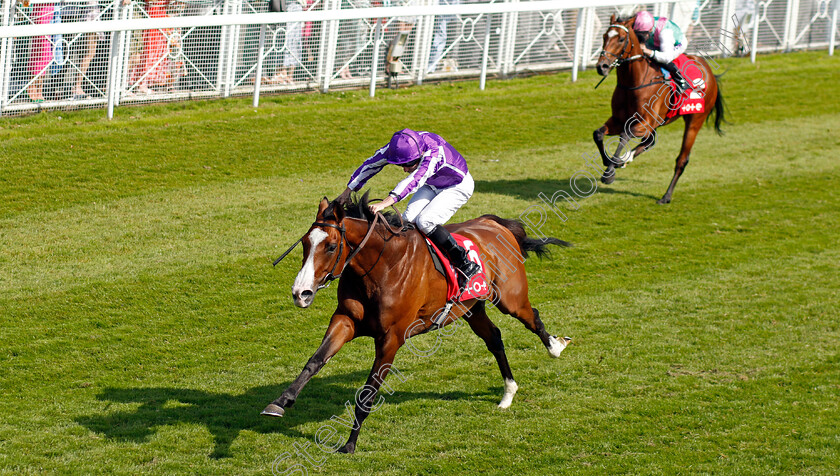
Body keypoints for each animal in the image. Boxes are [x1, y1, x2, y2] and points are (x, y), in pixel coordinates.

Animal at [266, 193, 576, 454]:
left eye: (331, 246)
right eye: (305, 244)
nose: (300, 293)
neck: (382, 266)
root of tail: (493, 222)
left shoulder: (391, 339)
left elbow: (367, 395)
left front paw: (350, 444)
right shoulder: (346, 320)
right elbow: (315, 361)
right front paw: (280, 402)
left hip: (510, 299)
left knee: (532, 316)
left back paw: (555, 347)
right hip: (472, 308)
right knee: (495, 337)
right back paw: (508, 392)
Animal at [592, 14, 724, 205]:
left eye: (621, 39)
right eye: (604, 37)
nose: (601, 66)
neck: (635, 81)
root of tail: (710, 73)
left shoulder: (644, 123)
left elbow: (624, 135)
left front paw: (609, 173)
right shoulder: (618, 120)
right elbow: (598, 134)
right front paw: (609, 162)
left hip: (694, 120)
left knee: (681, 159)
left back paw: (666, 196)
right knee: (650, 141)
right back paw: (626, 159)